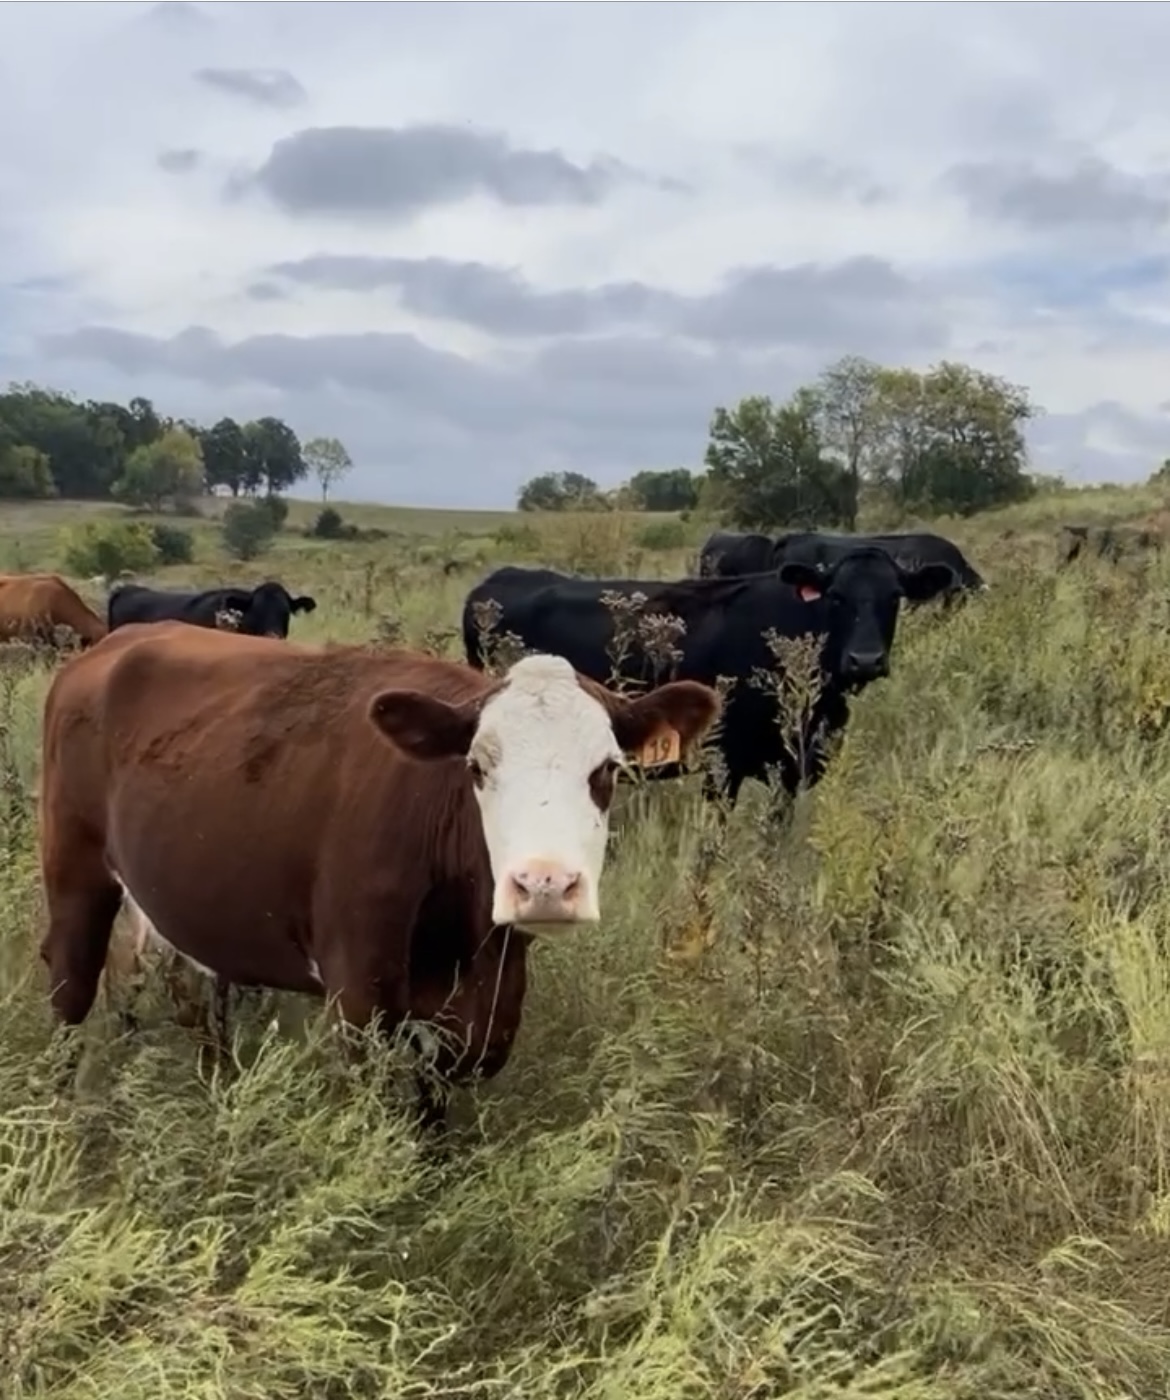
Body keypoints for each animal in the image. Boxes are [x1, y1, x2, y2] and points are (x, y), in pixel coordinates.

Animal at [38, 623, 721, 1130]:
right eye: (477, 767)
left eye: (606, 770)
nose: (544, 885)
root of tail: (117, 641)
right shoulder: (360, 993)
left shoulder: (484, 1006)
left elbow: (436, 1103)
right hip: (75, 871)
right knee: (71, 985)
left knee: (180, 990)